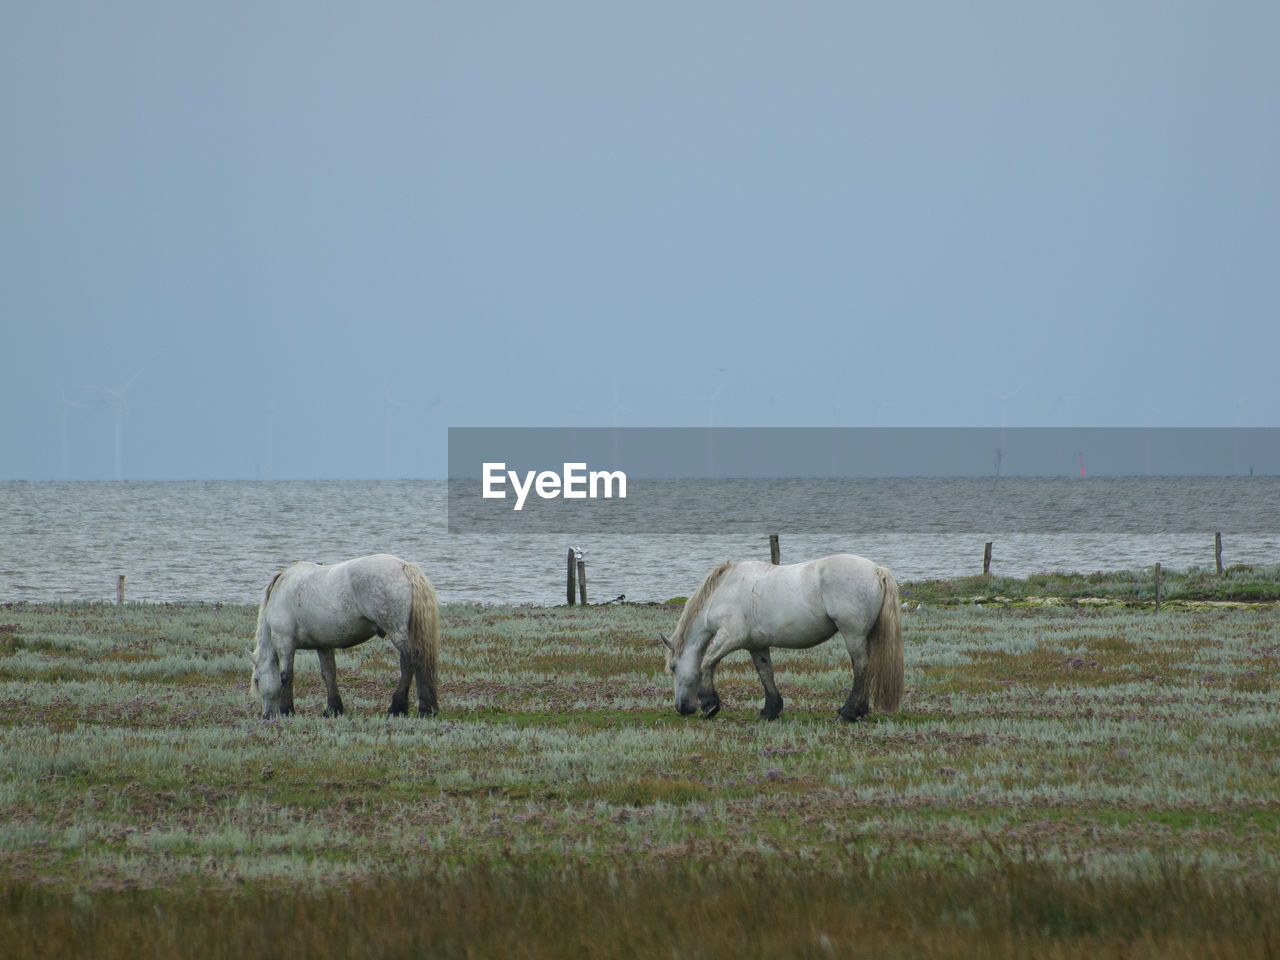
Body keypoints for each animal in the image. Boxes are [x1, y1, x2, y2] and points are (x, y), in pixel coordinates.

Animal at [249, 555, 440, 721]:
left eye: (256, 681)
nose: (267, 716)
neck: (281, 590)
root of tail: (403, 566)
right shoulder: (323, 645)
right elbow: (328, 674)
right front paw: (333, 709)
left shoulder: (284, 642)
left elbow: (286, 675)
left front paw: (287, 710)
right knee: (418, 662)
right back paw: (426, 709)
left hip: (397, 633)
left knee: (409, 662)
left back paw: (397, 708)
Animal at [665, 555, 906, 721]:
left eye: (673, 668)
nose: (681, 708)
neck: (722, 592)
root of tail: (877, 570)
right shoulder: (756, 645)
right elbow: (765, 674)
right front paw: (769, 711)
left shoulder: (730, 638)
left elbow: (706, 663)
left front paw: (710, 706)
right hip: (866, 636)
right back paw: (859, 711)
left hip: (853, 635)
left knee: (861, 669)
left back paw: (847, 713)